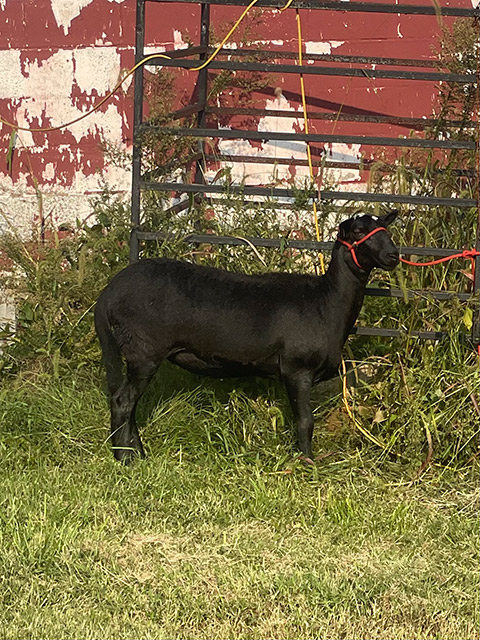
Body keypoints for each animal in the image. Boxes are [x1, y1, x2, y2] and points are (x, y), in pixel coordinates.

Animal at [94, 211, 399, 463]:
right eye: (358, 231)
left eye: (386, 228)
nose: (394, 255)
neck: (327, 301)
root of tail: (109, 292)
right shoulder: (297, 369)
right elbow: (305, 421)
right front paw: (307, 462)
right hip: (143, 350)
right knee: (123, 402)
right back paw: (125, 458)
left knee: (128, 403)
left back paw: (136, 452)